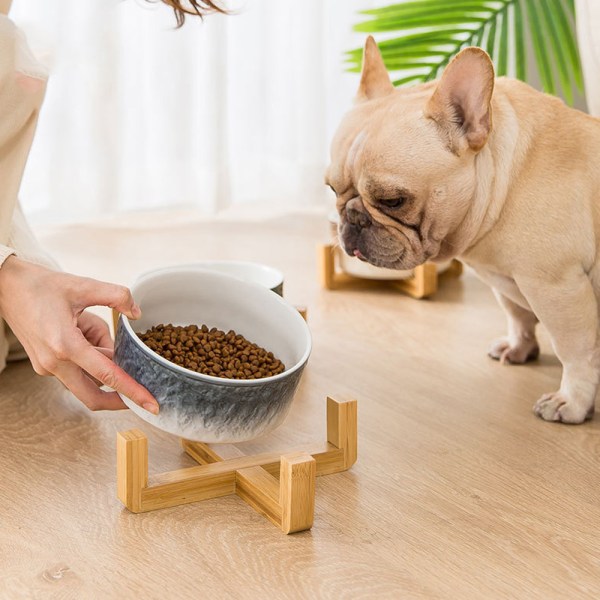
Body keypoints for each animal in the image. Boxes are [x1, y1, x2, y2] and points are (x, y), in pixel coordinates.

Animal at [328, 36, 600, 422]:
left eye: (393, 200)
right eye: (332, 189)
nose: (352, 218)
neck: (506, 178)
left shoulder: (557, 287)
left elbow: (574, 350)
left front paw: (572, 402)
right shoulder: (505, 281)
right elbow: (517, 315)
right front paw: (519, 348)